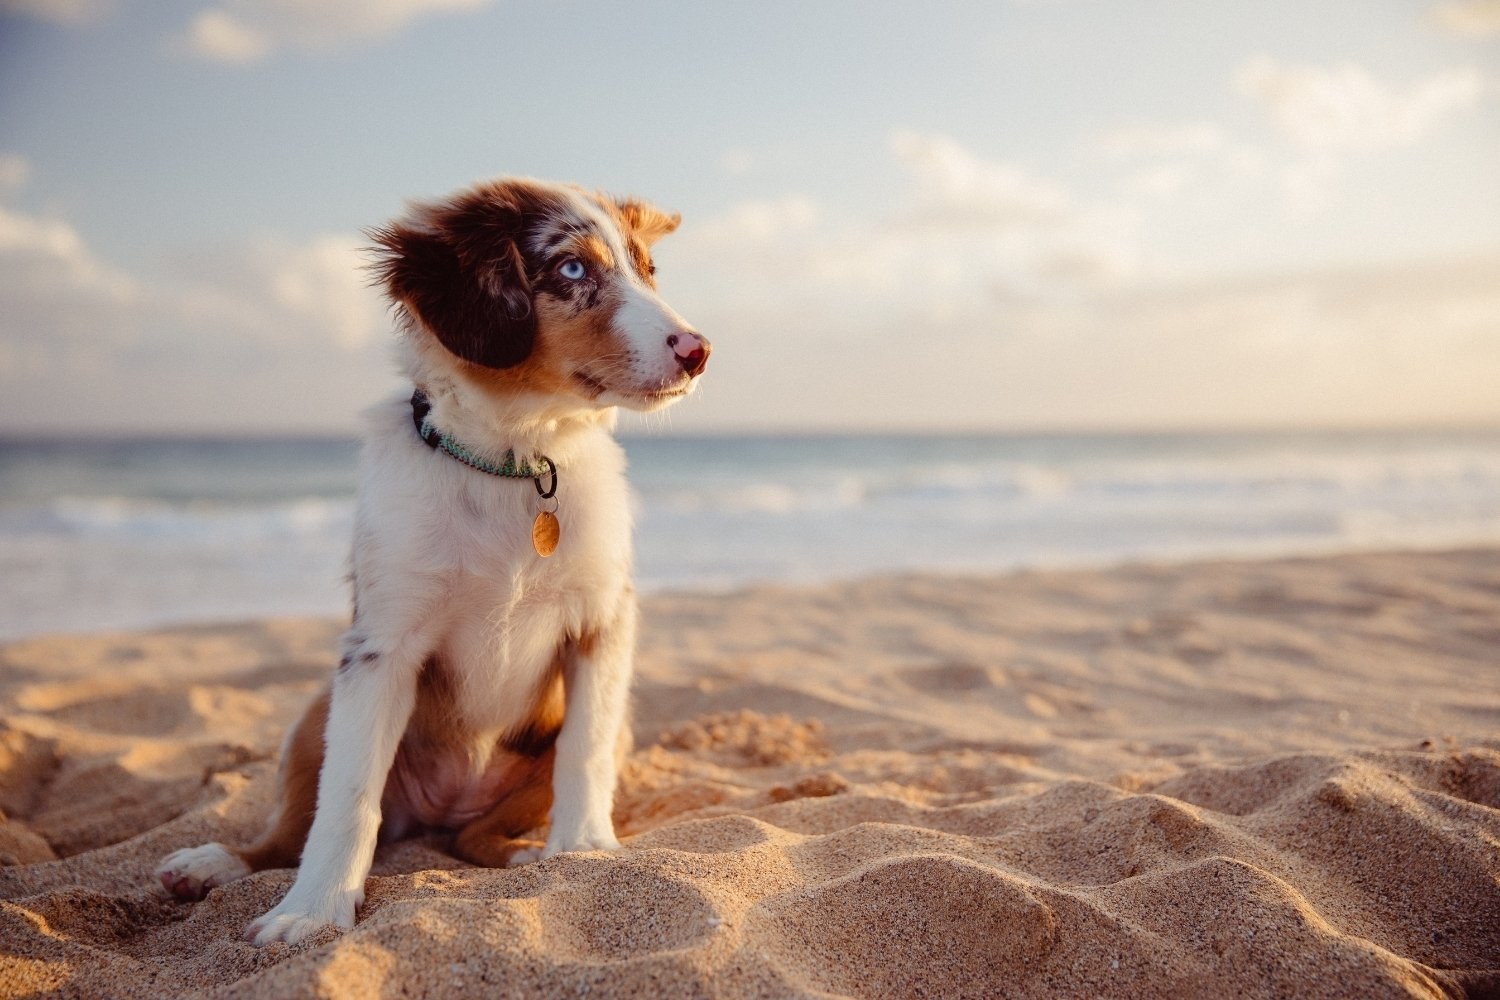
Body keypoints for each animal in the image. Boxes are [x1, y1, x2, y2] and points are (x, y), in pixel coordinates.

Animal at [155, 173, 711, 947]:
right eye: (573, 269)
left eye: (648, 269)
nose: (698, 350)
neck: (516, 463)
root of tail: (445, 807)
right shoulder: (382, 644)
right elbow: (348, 795)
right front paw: (313, 910)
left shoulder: (603, 621)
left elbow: (586, 746)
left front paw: (584, 848)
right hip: (313, 716)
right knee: (288, 832)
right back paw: (215, 863)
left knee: (475, 839)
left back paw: (526, 855)